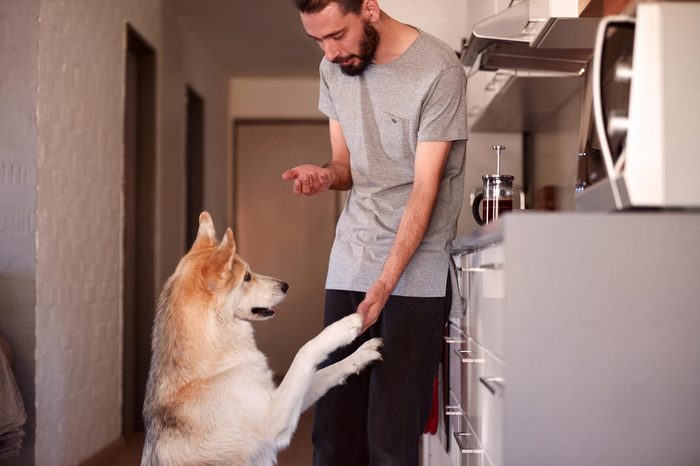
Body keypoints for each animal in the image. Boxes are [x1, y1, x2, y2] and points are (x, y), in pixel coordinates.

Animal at [142, 213, 382, 464]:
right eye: (247, 277)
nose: (286, 286)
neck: (209, 370)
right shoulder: (272, 417)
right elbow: (305, 351)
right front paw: (342, 328)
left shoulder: (274, 397)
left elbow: (322, 372)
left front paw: (360, 356)